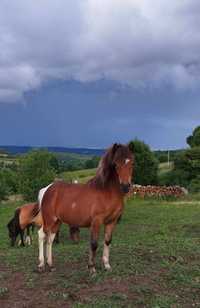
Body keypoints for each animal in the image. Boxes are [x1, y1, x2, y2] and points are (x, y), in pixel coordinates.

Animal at [36, 143, 134, 274]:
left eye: (132, 163)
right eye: (116, 164)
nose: (125, 186)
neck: (106, 192)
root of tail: (47, 189)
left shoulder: (111, 222)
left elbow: (107, 241)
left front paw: (107, 265)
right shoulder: (96, 221)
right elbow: (94, 244)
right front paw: (91, 268)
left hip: (57, 221)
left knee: (50, 239)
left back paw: (50, 265)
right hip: (49, 220)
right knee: (42, 235)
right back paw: (41, 265)